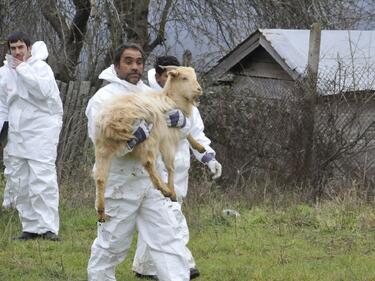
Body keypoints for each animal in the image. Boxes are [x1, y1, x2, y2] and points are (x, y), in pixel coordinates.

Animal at [93, 66, 206, 221]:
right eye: (184, 78)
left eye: (195, 76)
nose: (199, 89)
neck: (171, 99)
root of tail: (111, 121)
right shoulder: (167, 139)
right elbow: (170, 166)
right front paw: (172, 191)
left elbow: (188, 133)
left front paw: (200, 147)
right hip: (148, 140)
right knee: (148, 163)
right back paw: (164, 189)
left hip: (102, 148)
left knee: (100, 178)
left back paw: (101, 211)